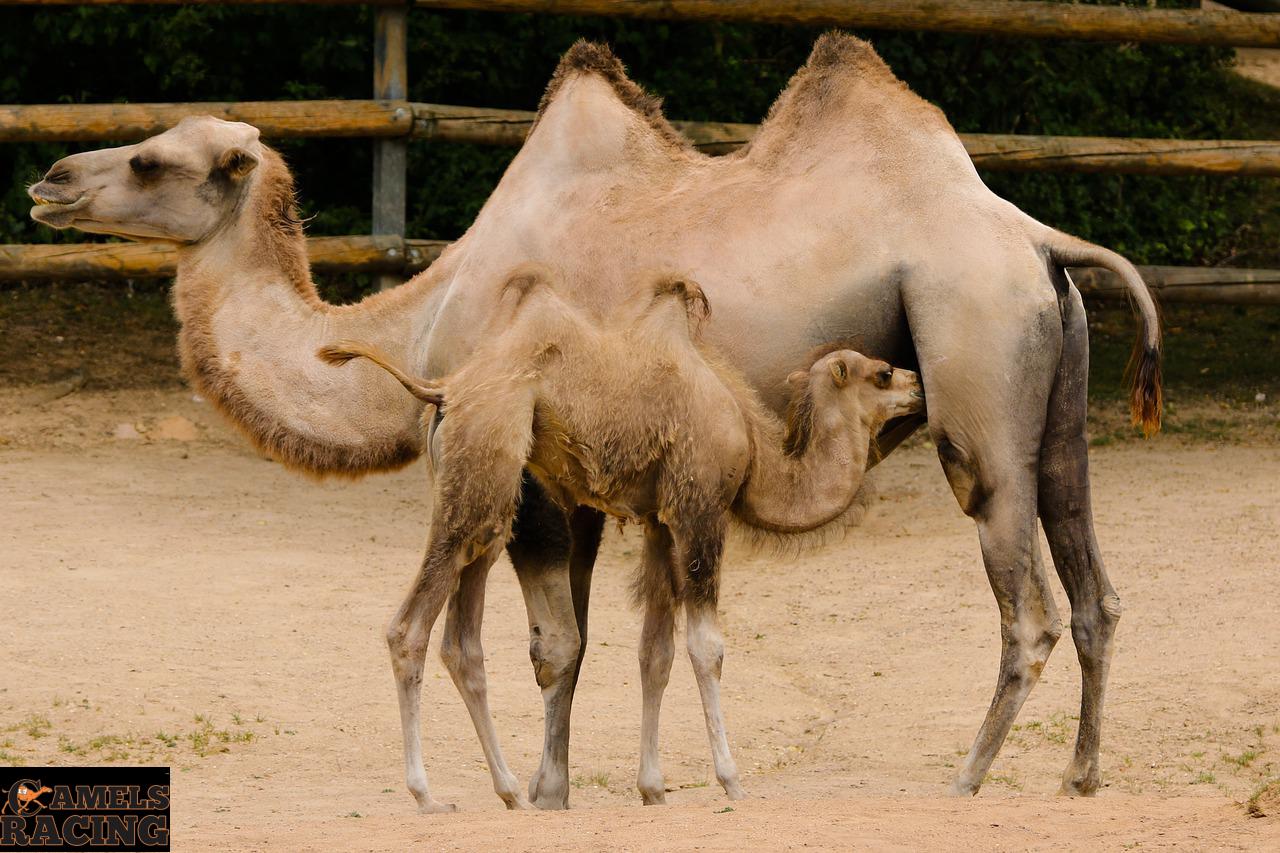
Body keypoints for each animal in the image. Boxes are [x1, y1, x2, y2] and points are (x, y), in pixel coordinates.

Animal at [318, 267, 921, 809]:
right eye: (882, 373)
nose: (919, 385)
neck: (752, 450)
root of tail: (445, 388)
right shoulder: (701, 510)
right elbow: (707, 647)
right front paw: (731, 780)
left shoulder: (660, 522)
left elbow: (655, 651)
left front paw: (652, 788)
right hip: (484, 467)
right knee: (408, 629)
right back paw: (427, 794)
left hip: (486, 498)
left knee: (463, 640)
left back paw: (511, 791)